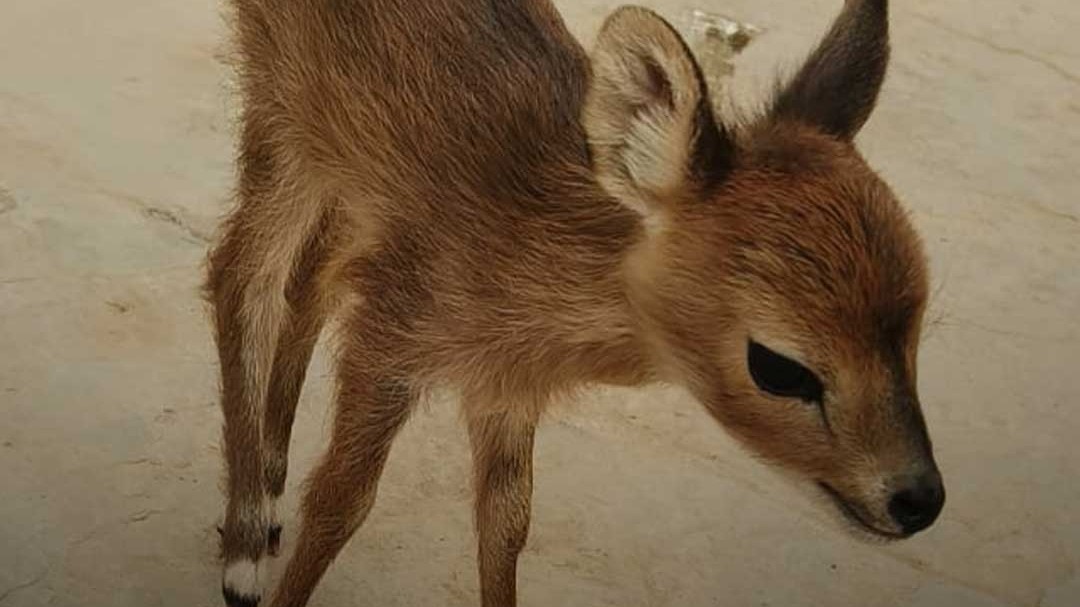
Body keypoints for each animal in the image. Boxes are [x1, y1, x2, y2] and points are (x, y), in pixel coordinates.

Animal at [204, 0, 945, 605]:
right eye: (779, 366)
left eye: (916, 326)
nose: (920, 499)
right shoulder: (393, 336)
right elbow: (343, 499)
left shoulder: (504, 388)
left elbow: (507, 523)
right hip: (282, 105)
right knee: (240, 274)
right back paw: (244, 550)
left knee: (307, 277)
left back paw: (269, 488)